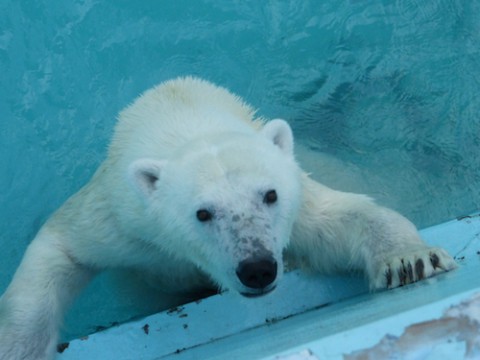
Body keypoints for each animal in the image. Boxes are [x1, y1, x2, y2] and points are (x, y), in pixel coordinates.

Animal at [0, 77, 456, 358]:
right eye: (202, 213)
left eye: (269, 195)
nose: (257, 268)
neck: (181, 113)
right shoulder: (125, 217)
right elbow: (60, 247)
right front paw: (16, 349)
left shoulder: (296, 194)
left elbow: (341, 218)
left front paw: (410, 260)